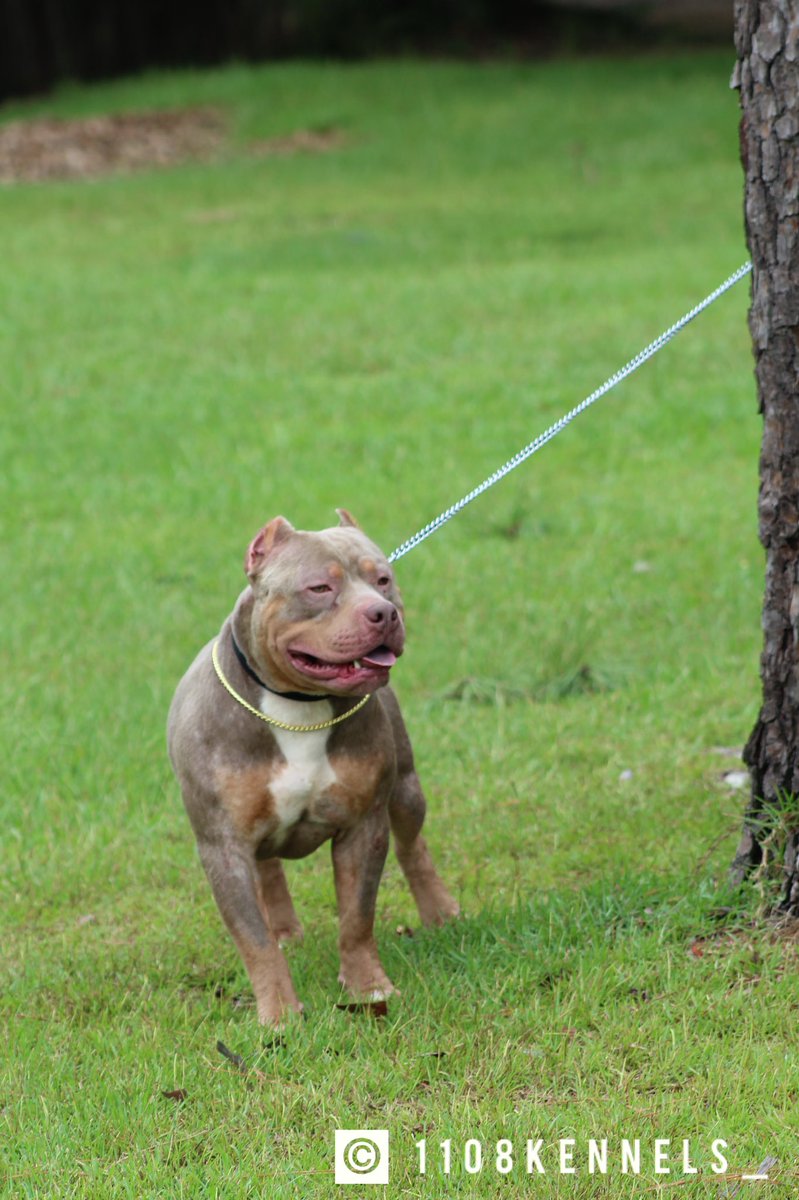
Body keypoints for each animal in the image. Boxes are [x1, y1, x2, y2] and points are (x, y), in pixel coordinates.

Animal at [164, 511, 458, 1027]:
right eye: (320, 587)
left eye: (383, 580)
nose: (383, 612)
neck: (296, 706)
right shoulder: (223, 848)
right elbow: (254, 941)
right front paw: (280, 1013)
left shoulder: (363, 827)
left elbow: (357, 918)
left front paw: (368, 988)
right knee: (268, 873)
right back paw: (284, 929)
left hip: (405, 789)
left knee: (413, 846)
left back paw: (439, 911)